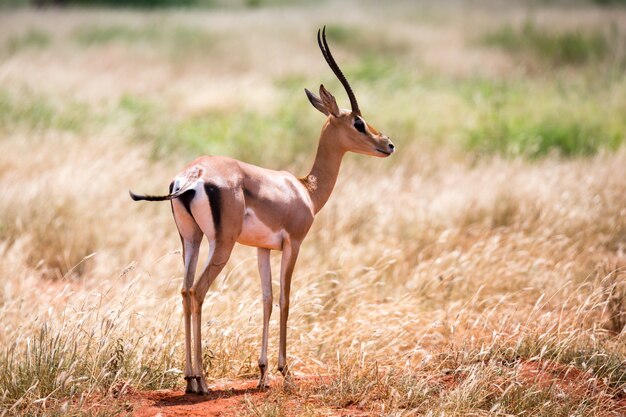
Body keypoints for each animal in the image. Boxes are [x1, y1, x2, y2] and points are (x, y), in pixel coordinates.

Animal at [130, 26, 394, 394]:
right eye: (358, 122)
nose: (388, 144)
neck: (304, 189)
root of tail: (192, 176)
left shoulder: (262, 250)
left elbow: (266, 300)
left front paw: (263, 373)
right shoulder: (293, 245)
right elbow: (285, 299)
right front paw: (286, 372)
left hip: (191, 240)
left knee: (184, 290)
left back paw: (188, 379)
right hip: (221, 246)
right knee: (198, 291)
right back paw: (201, 381)